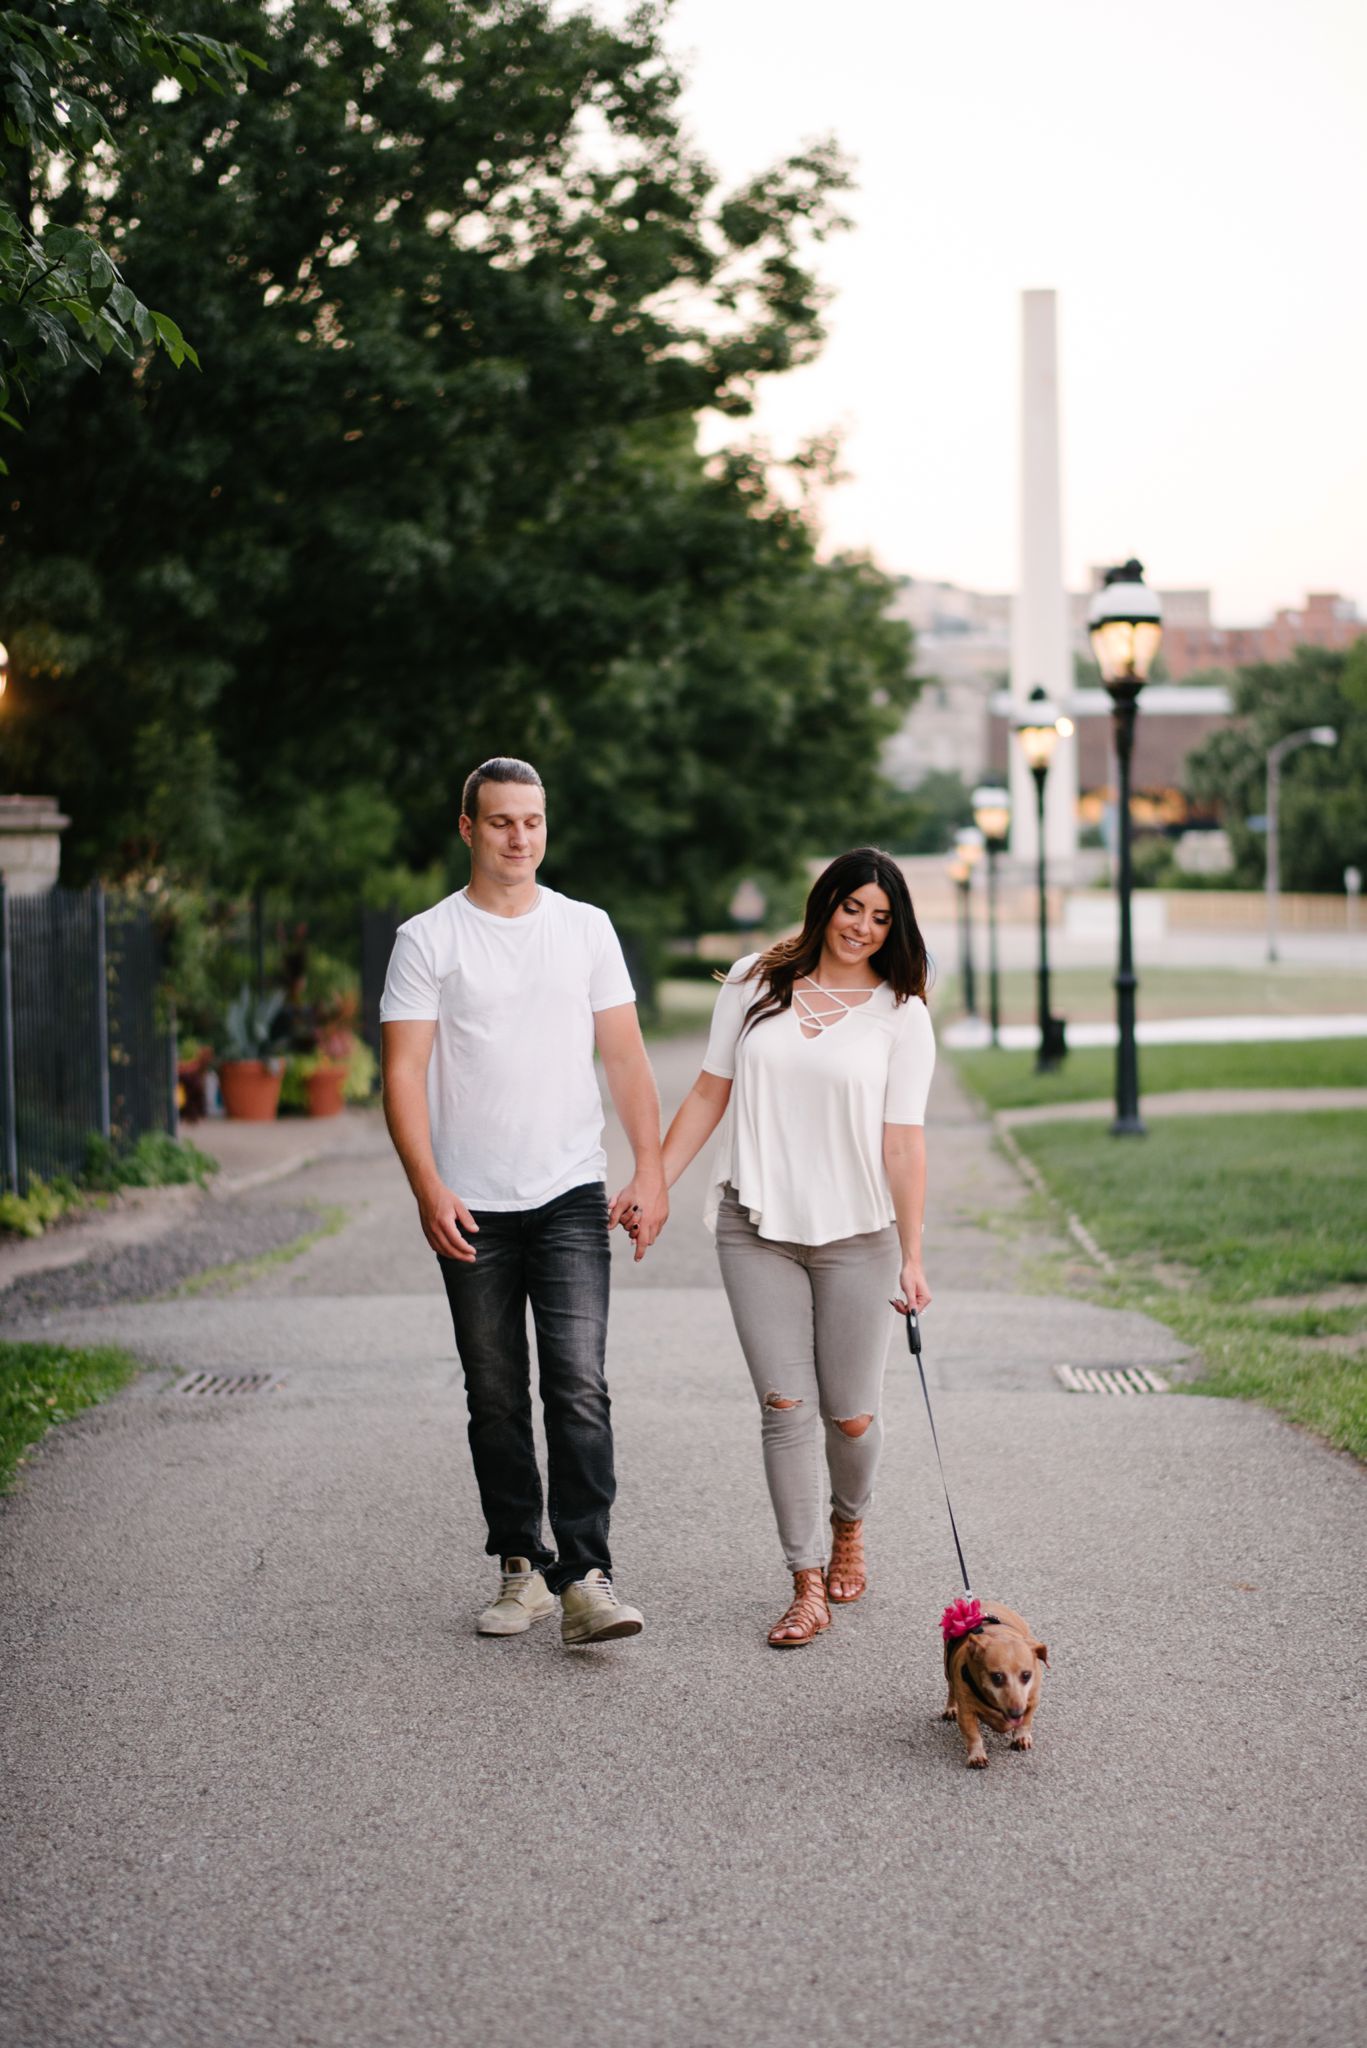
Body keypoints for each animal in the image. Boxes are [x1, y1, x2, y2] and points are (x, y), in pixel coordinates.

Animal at [942, 1597, 1049, 1761]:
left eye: (1026, 1675)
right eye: (997, 1677)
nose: (1016, 1713)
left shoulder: (1032, 1700)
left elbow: (1026, 1721)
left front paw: (1021, 1736)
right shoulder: (966, 1711)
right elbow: (973, 1735)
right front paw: (977, 1755)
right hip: (948, 1671)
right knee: (951, 1689)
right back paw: (951, 1708)